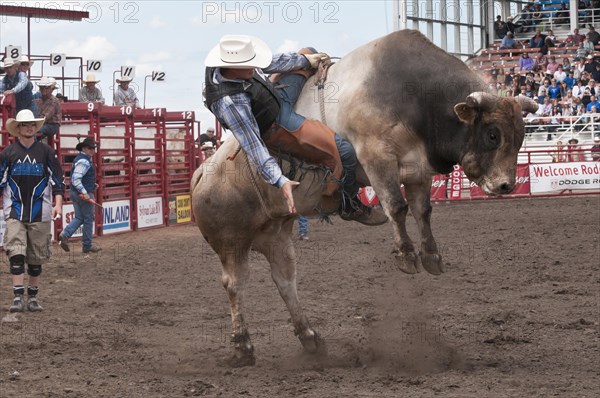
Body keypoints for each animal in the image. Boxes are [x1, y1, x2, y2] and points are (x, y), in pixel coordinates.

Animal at [190, 30, 536, 366]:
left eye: (520, 136)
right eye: (493, 134)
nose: (506, 185)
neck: (413, 95)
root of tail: (202, 173)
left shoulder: (417, 169)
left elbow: (422, 211)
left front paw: (431, 256)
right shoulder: (375, 155)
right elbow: (396, 206)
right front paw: (406, 256)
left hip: (275, 235)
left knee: (285, 280)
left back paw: (311, 338)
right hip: (232, 242)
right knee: (235, 284)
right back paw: (242, 347)